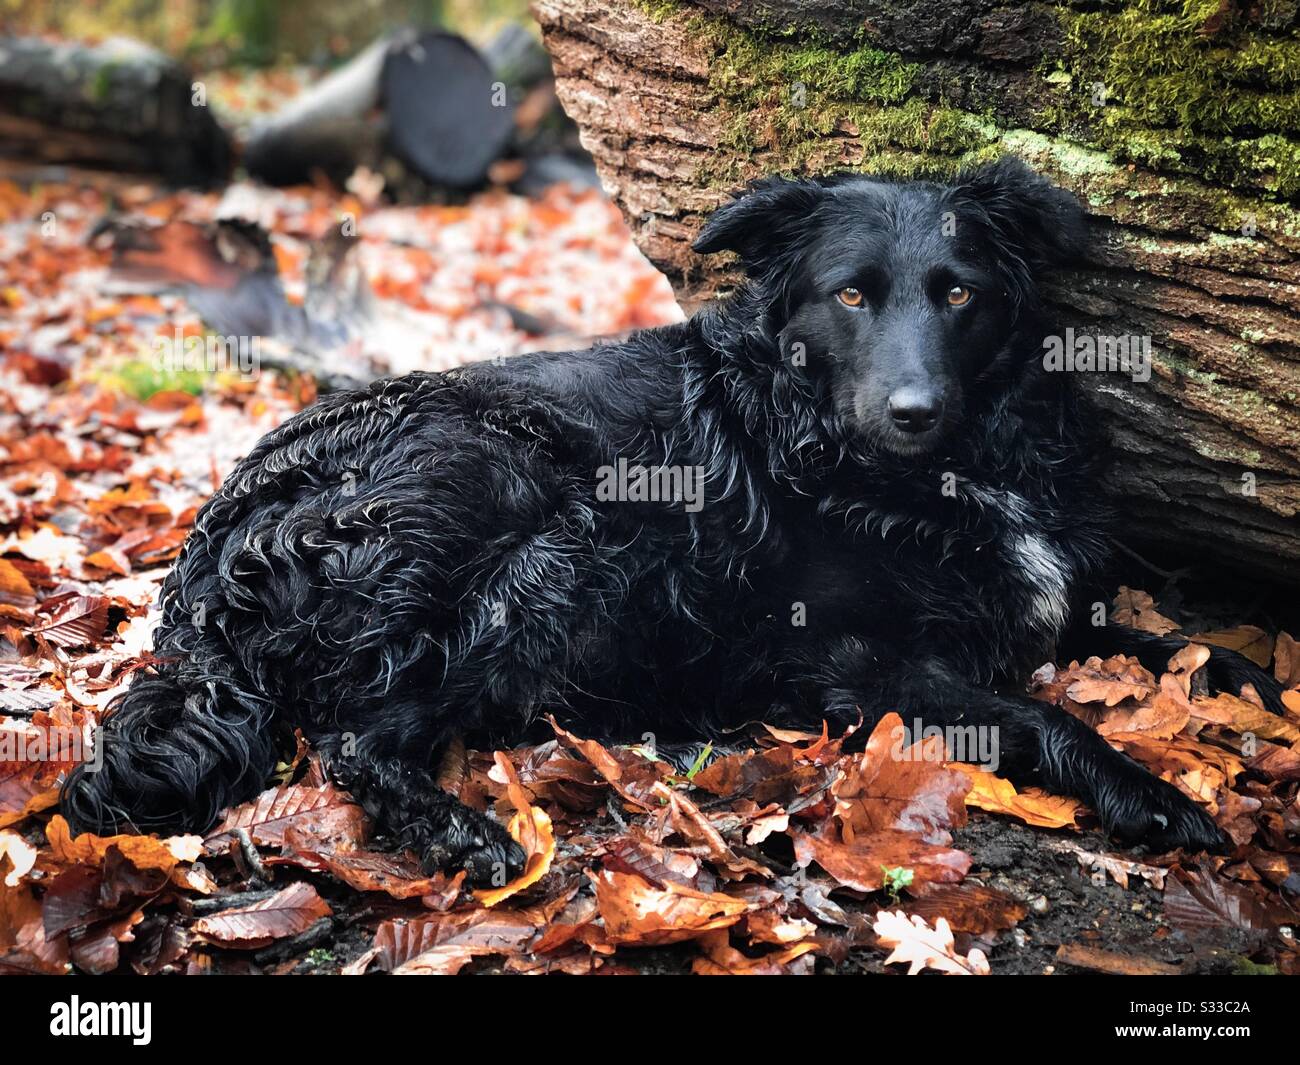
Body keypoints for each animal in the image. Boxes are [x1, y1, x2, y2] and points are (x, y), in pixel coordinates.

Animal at [61, 157, 1279, 884]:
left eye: (960, 294)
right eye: (850, 294)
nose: (911, 411)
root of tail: (207, 565)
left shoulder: (1058, 594)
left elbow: (1190, 642)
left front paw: (1253, 689)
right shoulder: (855, 664)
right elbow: (1045, 716)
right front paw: (1147, 792)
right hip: (546, 518)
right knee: (359, 741)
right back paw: (472, 834)